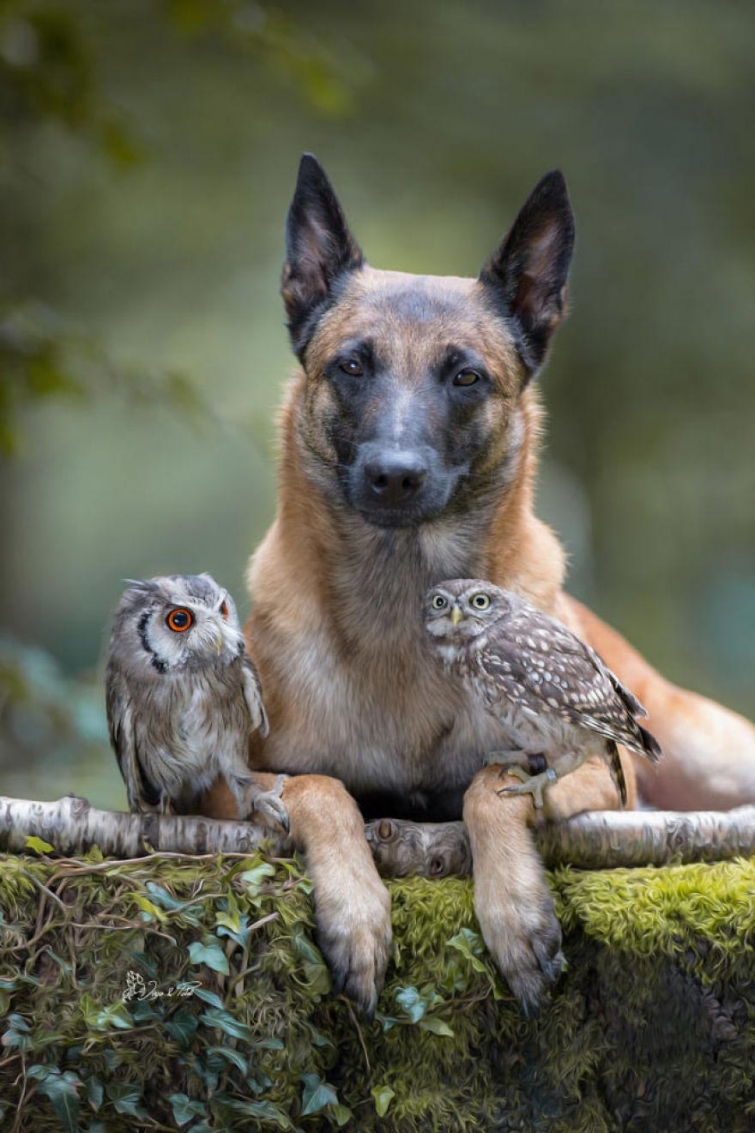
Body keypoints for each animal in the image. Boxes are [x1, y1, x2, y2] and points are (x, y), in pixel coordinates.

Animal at [198, 152, 752, 1019]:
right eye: (350, 365)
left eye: (464, 376)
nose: (394, 476)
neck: (405, 614)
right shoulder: (217, 793)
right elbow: (321, 788)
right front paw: (356, 913)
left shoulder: (595, 770)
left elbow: (490, 784)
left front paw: (514, 910)